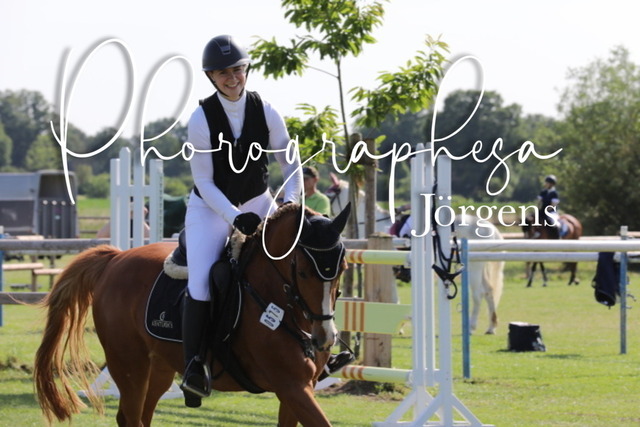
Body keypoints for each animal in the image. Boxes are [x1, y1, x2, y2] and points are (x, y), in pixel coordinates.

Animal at [34, 203, 351, 427]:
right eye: (304, 272)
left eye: (343, 269)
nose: (324, 339)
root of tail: (116, 259)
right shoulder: (291, 387)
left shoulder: (298, 389)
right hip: (129, 365)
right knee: (131, 417)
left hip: (159, 368)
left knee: (142, 416)